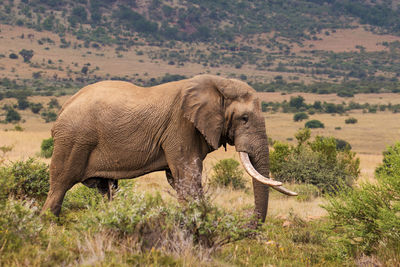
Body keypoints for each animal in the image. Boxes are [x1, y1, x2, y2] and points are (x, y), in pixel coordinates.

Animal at [41, 75, 296, 224]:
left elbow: (177, 178)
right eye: (244, 118)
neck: (215, 85)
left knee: (107, 189)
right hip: (74, 139)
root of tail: (63, 109)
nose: (252, 226)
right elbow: (187, 176)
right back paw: (48, 224)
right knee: (61, 183)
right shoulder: (180, 126)